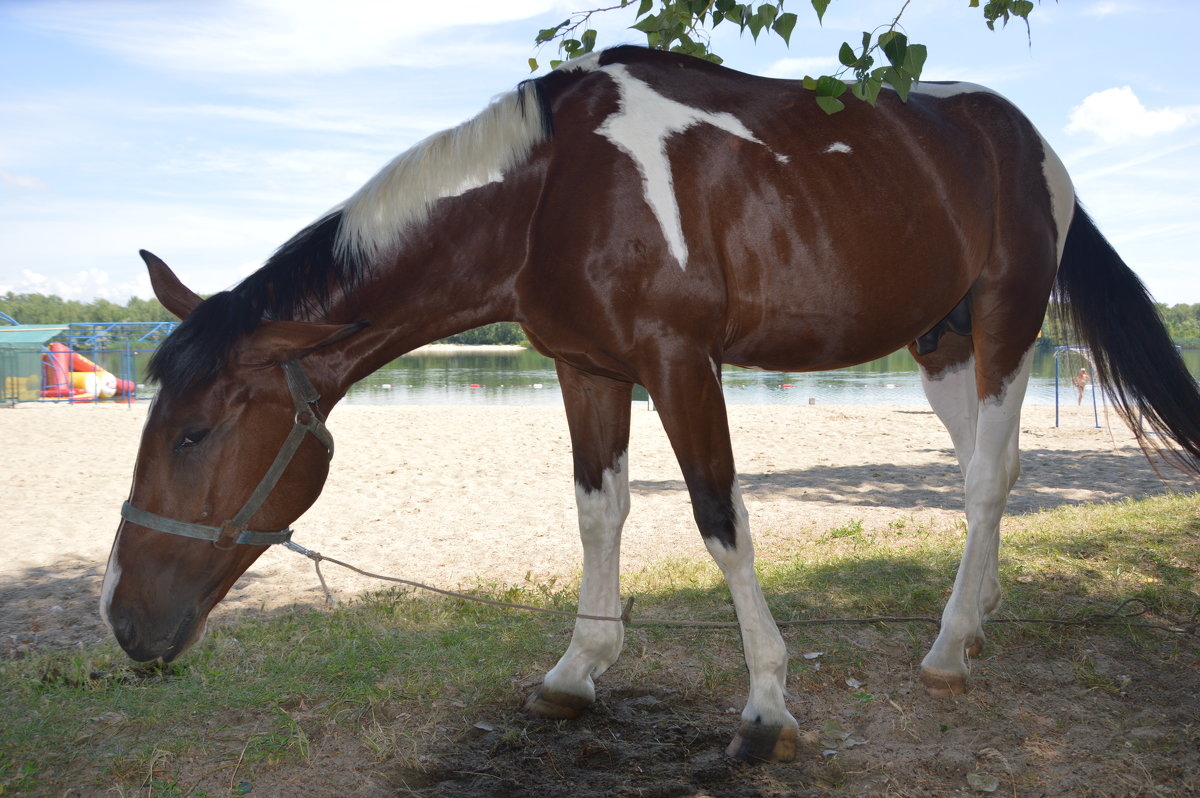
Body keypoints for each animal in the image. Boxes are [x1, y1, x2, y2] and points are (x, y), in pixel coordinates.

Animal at [103, 46, 1200, 763]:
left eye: (196, 430)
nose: (122, 621)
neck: (553, 193)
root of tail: (1024, 138)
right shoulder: (587, 370)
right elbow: (600, 511)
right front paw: (577, 670)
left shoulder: (679, 362)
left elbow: (720, 516)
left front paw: (765, 704)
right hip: (940, 342)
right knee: (990, 472)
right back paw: (973, 620)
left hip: (1007, 322)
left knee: (985, 477)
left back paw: (944, 651)